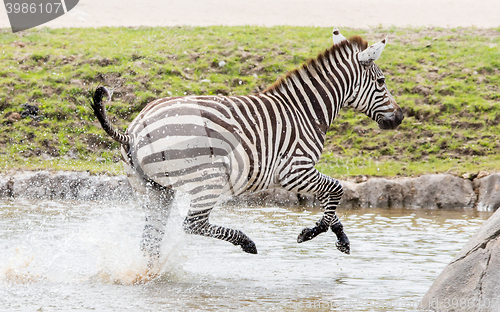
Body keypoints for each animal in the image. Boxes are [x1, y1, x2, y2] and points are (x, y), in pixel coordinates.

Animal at [90, 28, 402, 258]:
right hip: (208, 180)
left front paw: (341, 238)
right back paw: (246, 242)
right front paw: (310, 233)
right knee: (192, 224)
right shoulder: (294, 171)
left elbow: (331, 201)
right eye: (382, 82)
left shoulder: (300, 174)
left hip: (155, 190)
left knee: (150, 241)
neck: (304, 112)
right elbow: (336, 190)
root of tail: (134, 130)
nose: (399, 118)